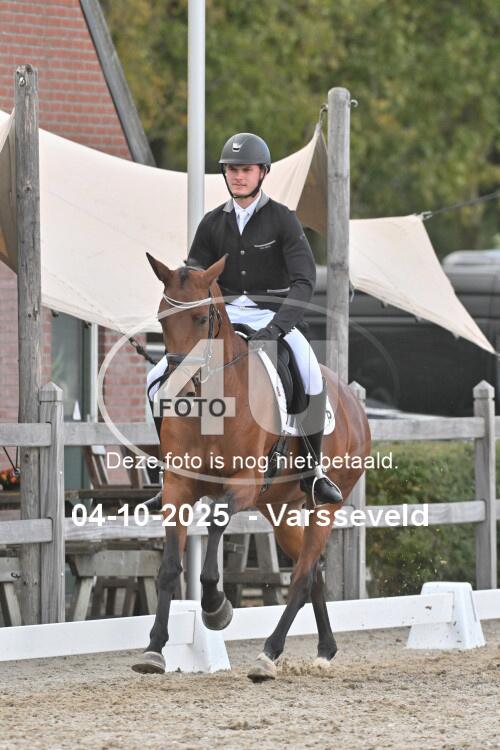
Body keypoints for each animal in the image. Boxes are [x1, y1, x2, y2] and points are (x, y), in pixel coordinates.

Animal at [132, 253, 371, 680]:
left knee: (302, 576)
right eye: (162, 318)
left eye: (200, 319)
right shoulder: (178, 488)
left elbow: (215, 531)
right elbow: (169, 568)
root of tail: (353, 402)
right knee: (312, 574)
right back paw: (325, 649)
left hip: (325, 506)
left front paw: (216, 607)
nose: (180, 389)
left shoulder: (242, 484)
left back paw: (268, 654)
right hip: (280, 510)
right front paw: (154, 649)